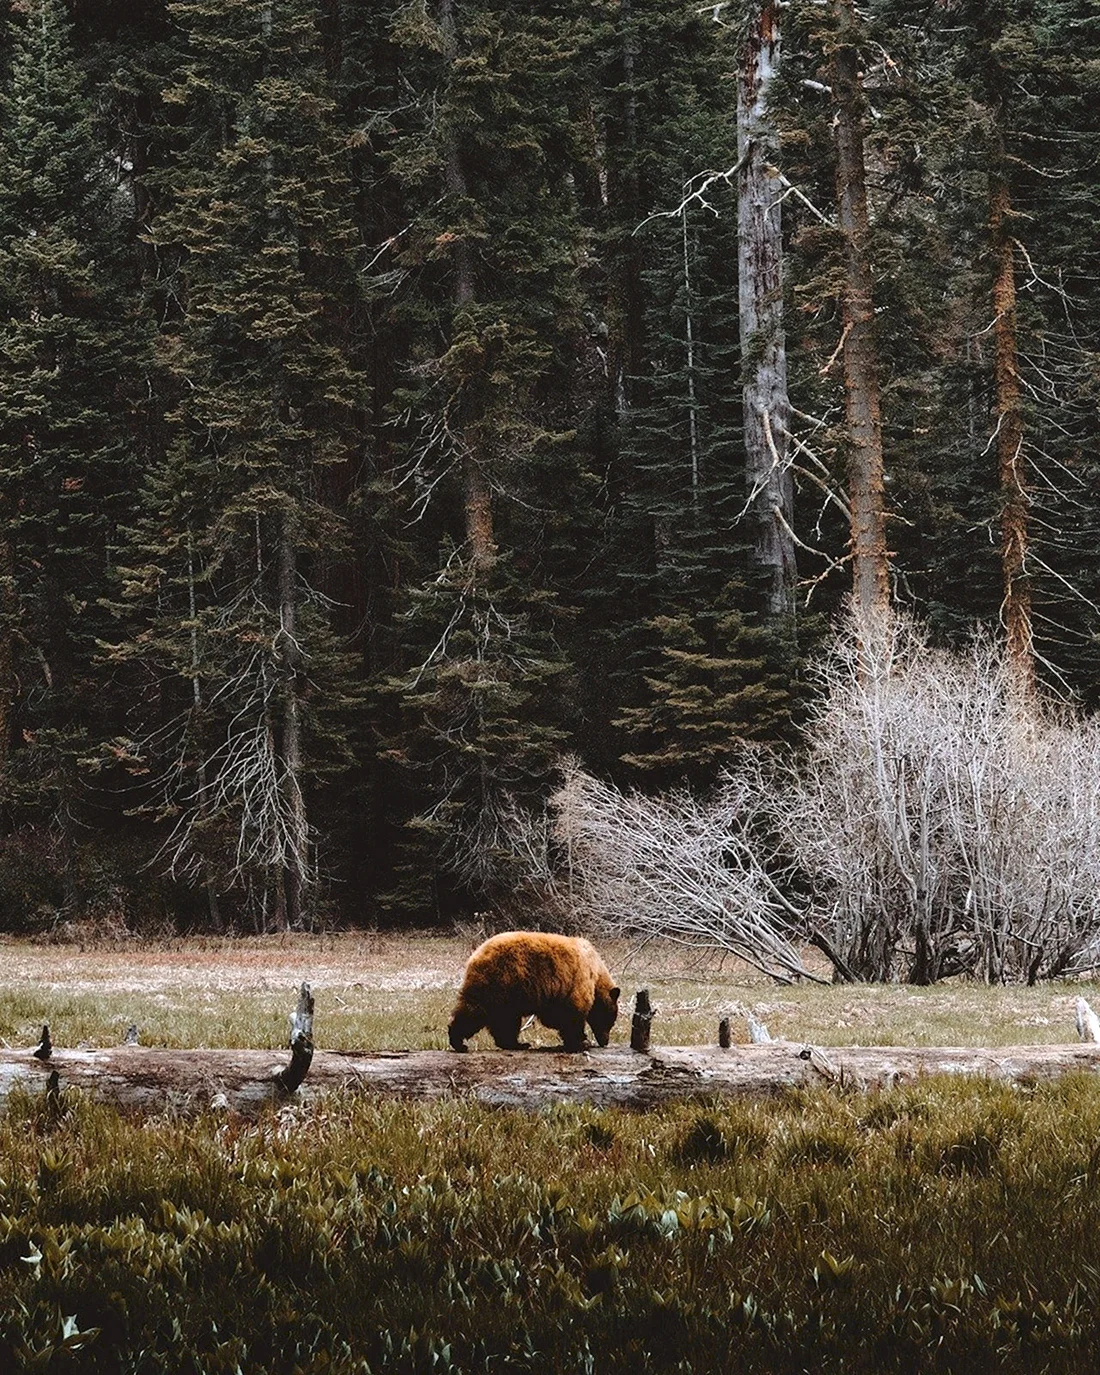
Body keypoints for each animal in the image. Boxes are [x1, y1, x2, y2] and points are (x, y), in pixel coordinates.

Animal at [445, 935, 618, 1050]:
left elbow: (556, 1015)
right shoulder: (577, 981)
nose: (605, 1042)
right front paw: (581, 1042)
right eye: (610, 1021)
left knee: (502, 1019)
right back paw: (459, 1042)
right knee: (479, 1012)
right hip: (500, 982)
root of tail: (475, 956)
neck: (597, 971)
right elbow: (571, 1014)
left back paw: (515, 1044)